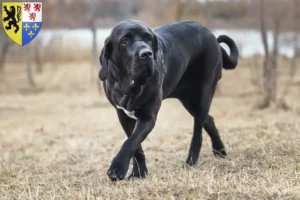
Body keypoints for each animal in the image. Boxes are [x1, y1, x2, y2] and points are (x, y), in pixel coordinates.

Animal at [99, 19, 238, 181]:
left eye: (148, 39)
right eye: (124, 41)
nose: (146, 54)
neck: (130, 85)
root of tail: (212, 36)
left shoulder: (148, 117)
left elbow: (131, 142)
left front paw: (117, 168)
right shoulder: (123, 115)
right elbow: (136, 145)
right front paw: (139, 173)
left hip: (204, 94)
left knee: (198, 132)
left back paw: (191, 161)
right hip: (189, 101)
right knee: (209, 120)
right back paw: (219, 150)